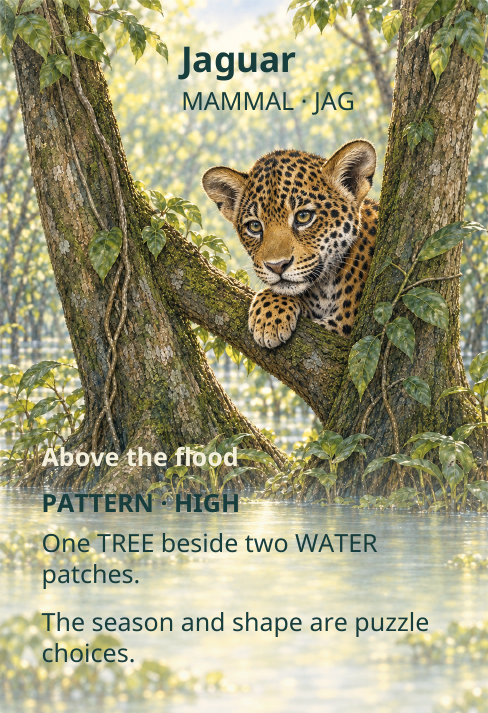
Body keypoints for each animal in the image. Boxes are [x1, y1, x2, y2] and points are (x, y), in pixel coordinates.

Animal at [201, 139, 378, 349]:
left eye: (303, 217)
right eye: (254, 226)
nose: (277, 266)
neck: (325, 287)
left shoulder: (344, 327)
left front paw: (269, 316)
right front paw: (269, 312)